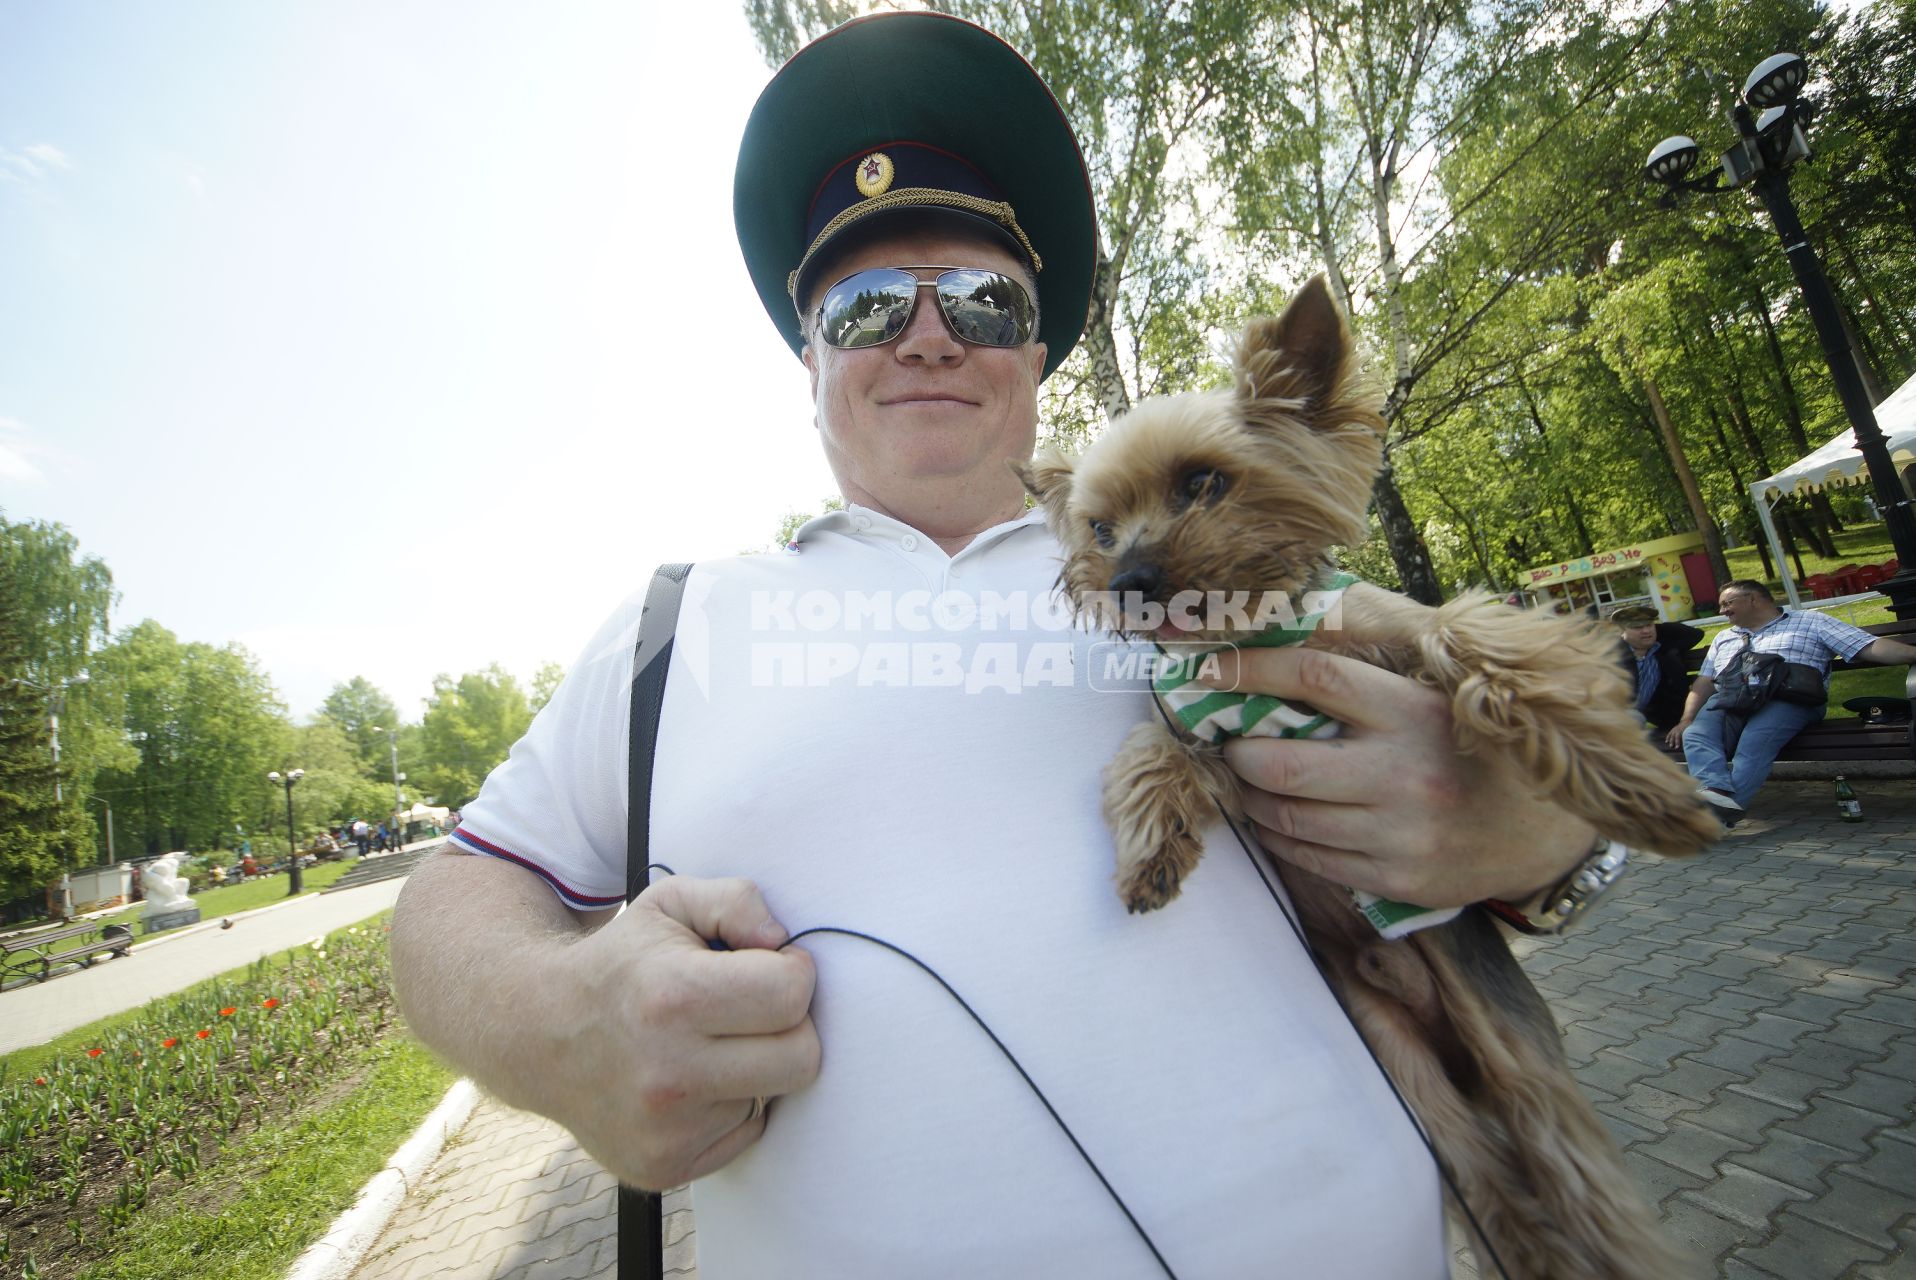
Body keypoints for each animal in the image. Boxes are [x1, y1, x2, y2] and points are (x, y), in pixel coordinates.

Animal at [1019, 279, 1724, 1280]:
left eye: (1203, 482)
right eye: (1100, 528)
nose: (1128, 581)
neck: (1251, 635)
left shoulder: (1400, 632)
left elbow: (1476, 638)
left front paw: (1645, 791)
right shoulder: (1203, 734)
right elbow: (1153, 758)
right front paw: (1151, 853)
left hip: (1513, 1047)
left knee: (1579, 1179)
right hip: (1409, 1076)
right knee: (1500, 1188)